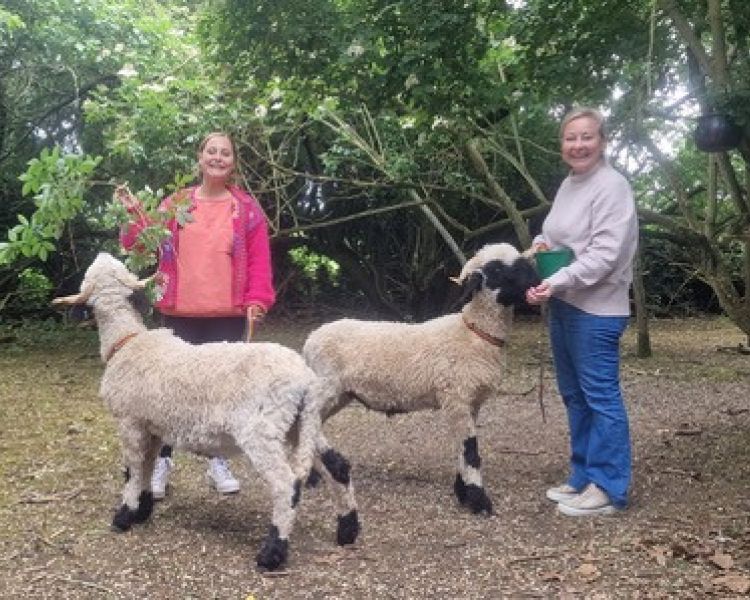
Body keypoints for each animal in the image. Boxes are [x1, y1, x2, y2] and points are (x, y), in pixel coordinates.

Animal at [52, 252, 359, 571]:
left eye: (90, 273)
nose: (103, 254)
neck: (127, 342)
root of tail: (304, 378)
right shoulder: (152, 426)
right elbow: (148, 467)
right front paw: (143, 510)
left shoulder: (130, 422)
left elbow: (133, 470)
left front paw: (124, 516)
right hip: (302, 423)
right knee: (337, 466)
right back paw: (347, 530)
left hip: (262, 430)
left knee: (286, 485)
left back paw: (272, 553)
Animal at [302, 243, 540, 516]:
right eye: (497, 269)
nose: (537, 280)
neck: (475, 335)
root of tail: (310, 340)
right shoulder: (456, 397)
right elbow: (470, 450)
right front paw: (479, 500)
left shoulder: (470, 402)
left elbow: (461, 448)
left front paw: (463, 492)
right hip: (327, 386)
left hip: (340, 394)